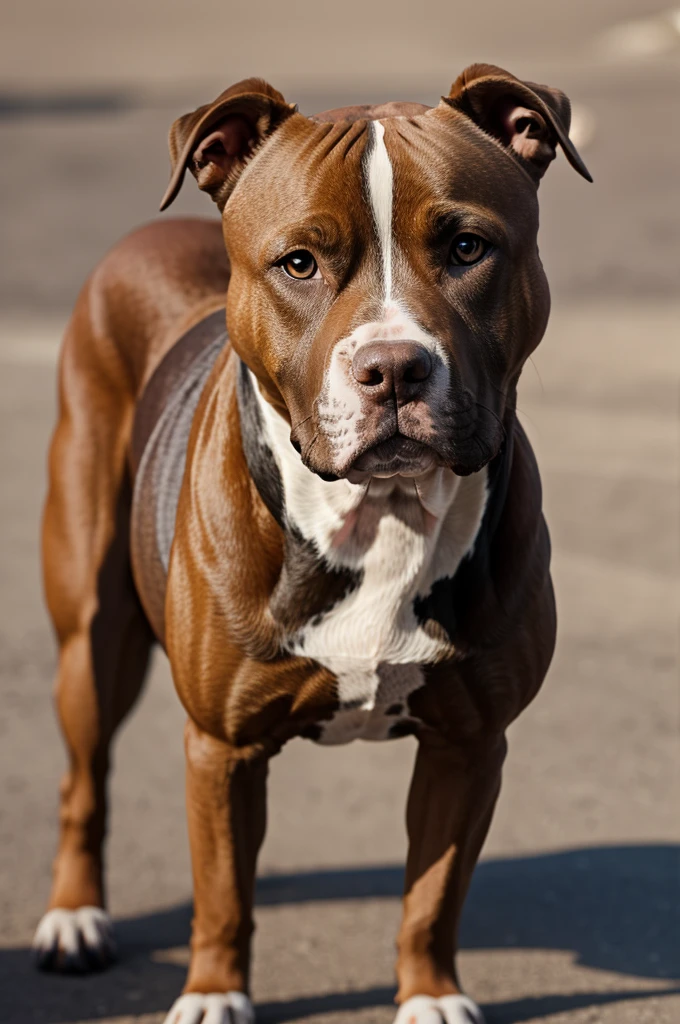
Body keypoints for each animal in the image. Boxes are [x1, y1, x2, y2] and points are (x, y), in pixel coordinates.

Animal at [35, 64, 589, 1024]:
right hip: (90, 634)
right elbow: (224, 892)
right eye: (300, 263)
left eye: (466, 247)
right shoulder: (221, 747)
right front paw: (214, 994)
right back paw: (73, 917)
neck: (381, 515)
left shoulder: (470, 743)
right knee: (84, 777)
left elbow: (432, 895)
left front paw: (429, 995)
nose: (395, 368)